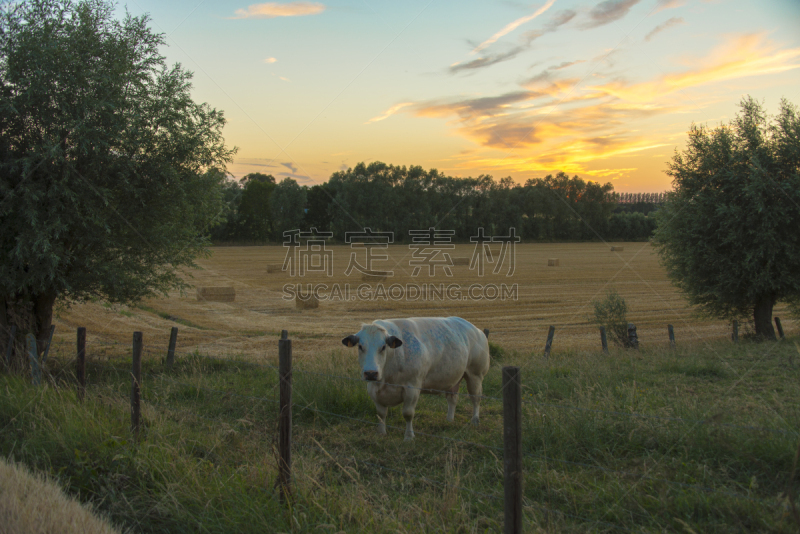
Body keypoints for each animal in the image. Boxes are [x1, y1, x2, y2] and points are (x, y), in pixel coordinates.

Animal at [340, 318, 490, 440]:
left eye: (383, 347)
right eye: (360, 347)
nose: (371, 373)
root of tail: (477, 330)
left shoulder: (412, 388)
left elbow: (408, 414)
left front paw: (409, 436)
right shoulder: (373, 389)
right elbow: (381, 414)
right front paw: (381, 433)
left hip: (475, 375)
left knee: (476, 398)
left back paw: (475, 420)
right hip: (454, 376)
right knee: (452, 398)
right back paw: (449, 419)